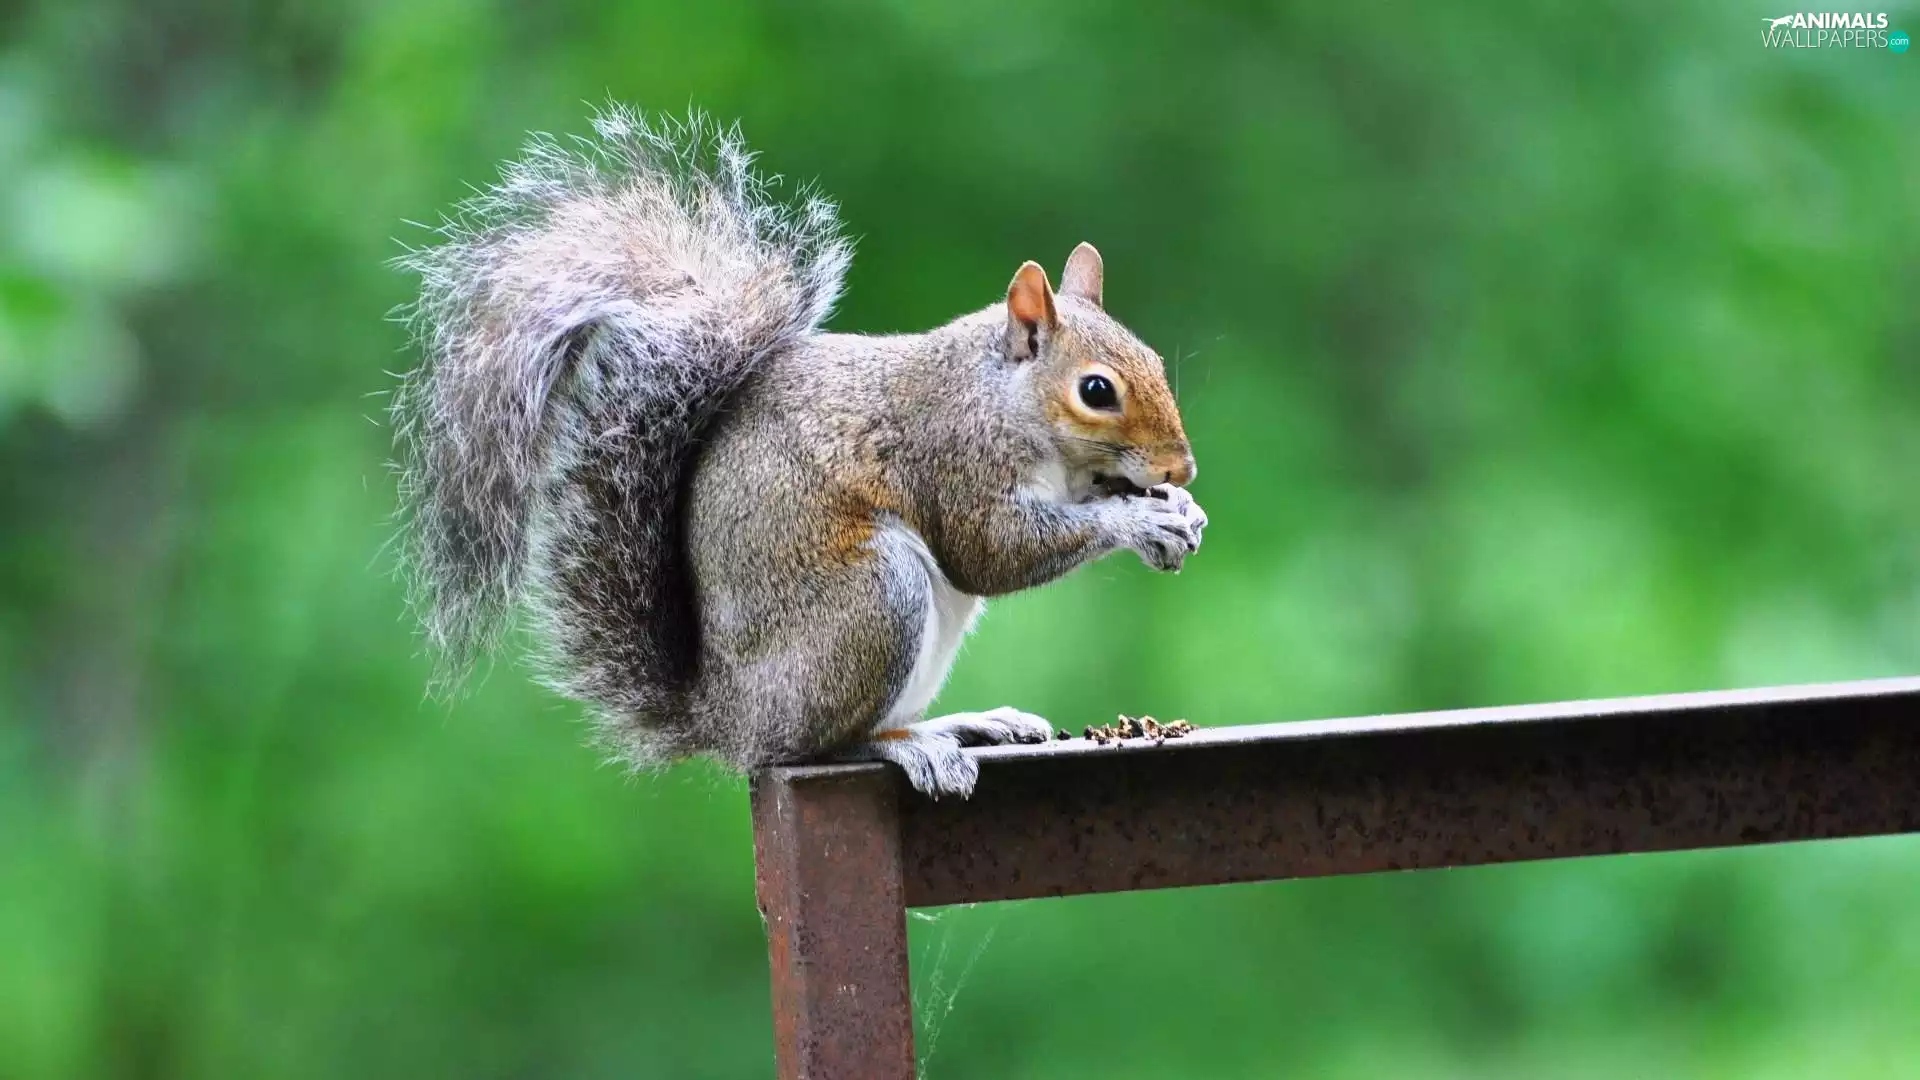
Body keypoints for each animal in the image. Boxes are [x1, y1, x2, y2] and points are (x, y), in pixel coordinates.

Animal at [391, 106, 1206, 798]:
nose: (1181, 468)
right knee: (819, 744)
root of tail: (728, 720)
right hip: (875, 602)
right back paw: (910, 746)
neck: (1001, 398)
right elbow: (991, 551)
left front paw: (1179, 510)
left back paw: (963, 724)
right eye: (1096, 390)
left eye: (1155, 361)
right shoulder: (953, 458)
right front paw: (1140, 520)